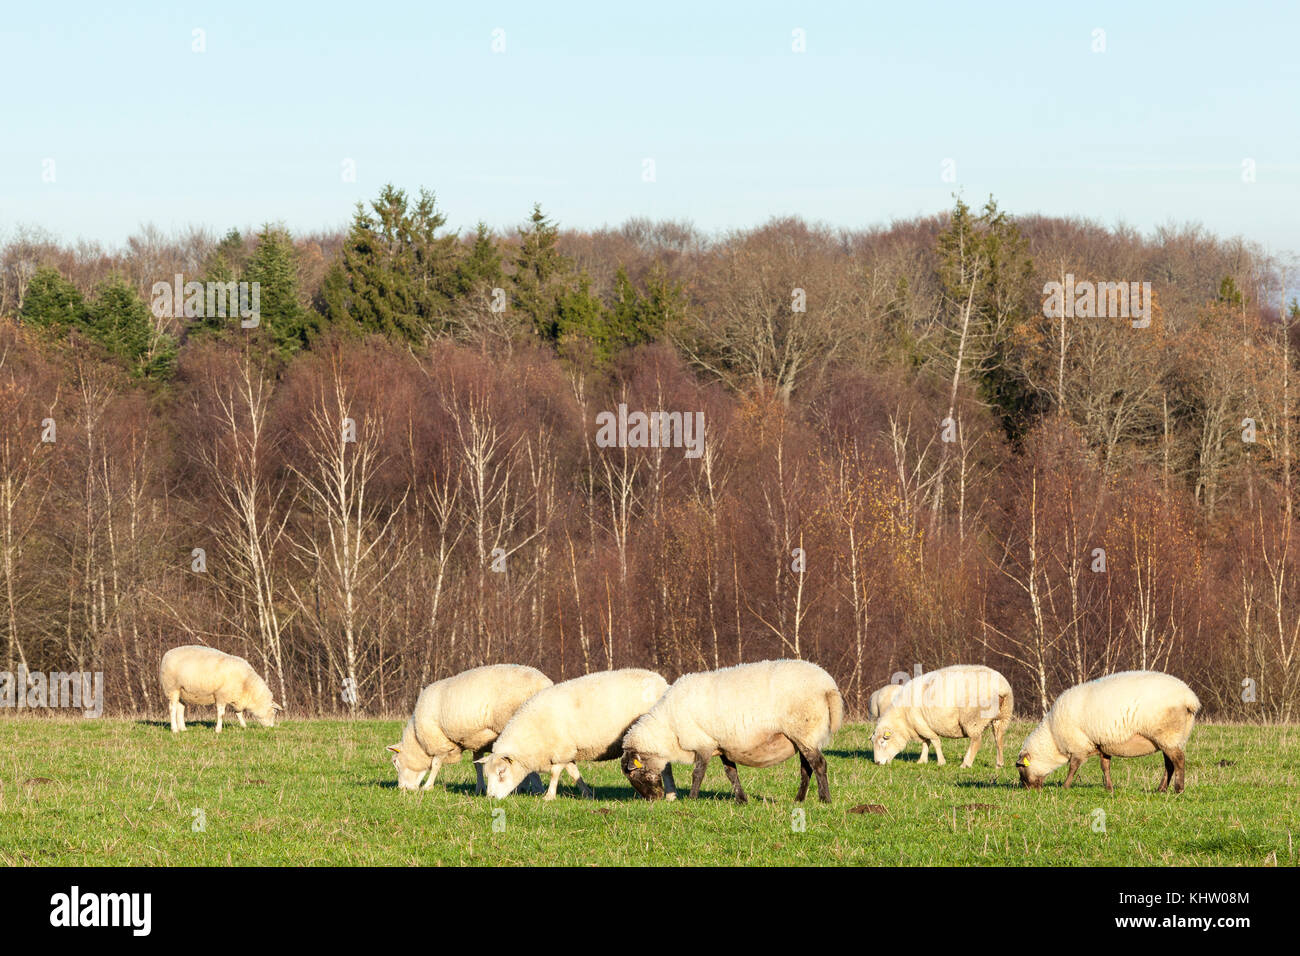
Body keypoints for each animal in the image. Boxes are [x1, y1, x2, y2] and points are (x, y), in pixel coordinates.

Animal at [385, 664, 552, 794]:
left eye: (396, 762)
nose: (401, 788)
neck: (418, 741)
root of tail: (545, 683)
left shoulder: (440, 740)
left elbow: (435, 764)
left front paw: (427, 786)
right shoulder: (477, 742)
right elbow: (477, 765)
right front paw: (480, 788)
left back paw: (534, 789)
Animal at [478, 668, 669, 800]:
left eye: (501, 772)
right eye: (487, 775)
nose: (491, 798)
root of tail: (662, 682)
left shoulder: (561, 750)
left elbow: (555, 773)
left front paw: (549, 796)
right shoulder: (569, 751)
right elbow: (573, 772)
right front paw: (587, 793)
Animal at [621, 659, 844, 804]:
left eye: (634, 774)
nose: (653, 800)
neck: (668, 729)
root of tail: (828, 686)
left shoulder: (703, 743)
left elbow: (697, 773)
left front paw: (692, 798)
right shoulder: (722, 746)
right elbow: (731, 773)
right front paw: (741, 799)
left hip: (803, 731)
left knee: (819, 764)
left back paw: (825, 799)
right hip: (802, 736)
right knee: (807, 768)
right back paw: (799, 799)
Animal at [871, 664, 1013, 768]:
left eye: (883, 741)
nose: (877, 763)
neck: (903, 720)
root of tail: (1002, 688)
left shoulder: (923, 725)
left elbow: (935, 742)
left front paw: (941, 762)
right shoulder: (922, 727)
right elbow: (926, 742)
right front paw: (922, 761)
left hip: (973, 719)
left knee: (976, 741)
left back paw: (965, 764)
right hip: (1003, 716)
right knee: (999, 739)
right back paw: (999, 764)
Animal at [1016, 670, 1200, 793]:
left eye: (1020, 768)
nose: (1026, 789)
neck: (1053, 739)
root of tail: (1190, 698)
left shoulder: (1079, 746)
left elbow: (1073, 767)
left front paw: (1065, 786)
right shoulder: (1102, 744)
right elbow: (1105, 767)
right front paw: (1109, 788)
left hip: (1167, 735)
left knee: (1179, 760)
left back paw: (1178, 789)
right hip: (1170, 739)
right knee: (1170, 764)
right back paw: (1161, 789)